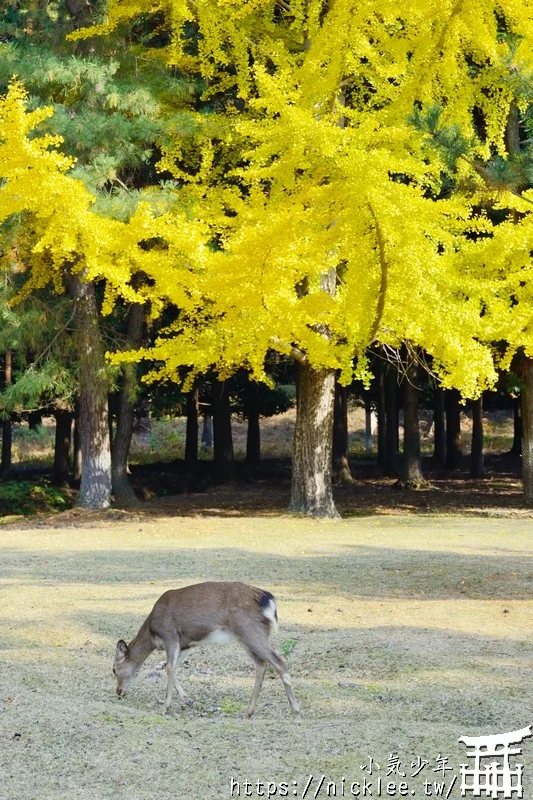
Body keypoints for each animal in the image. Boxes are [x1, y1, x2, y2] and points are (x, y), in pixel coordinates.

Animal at [112, 580, 300, 720]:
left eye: (114, 669)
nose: (119, 692)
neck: (152, 633)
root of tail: (267, 599)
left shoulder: (170, 636)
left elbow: (169, 668)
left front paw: (165, 708)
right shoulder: (186, 644)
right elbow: (174, 668)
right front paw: (189, 701)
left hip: (251, 632)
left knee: (279, 661)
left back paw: (296, 710)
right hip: (245, 638)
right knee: (261, 665)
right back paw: (248, 712)